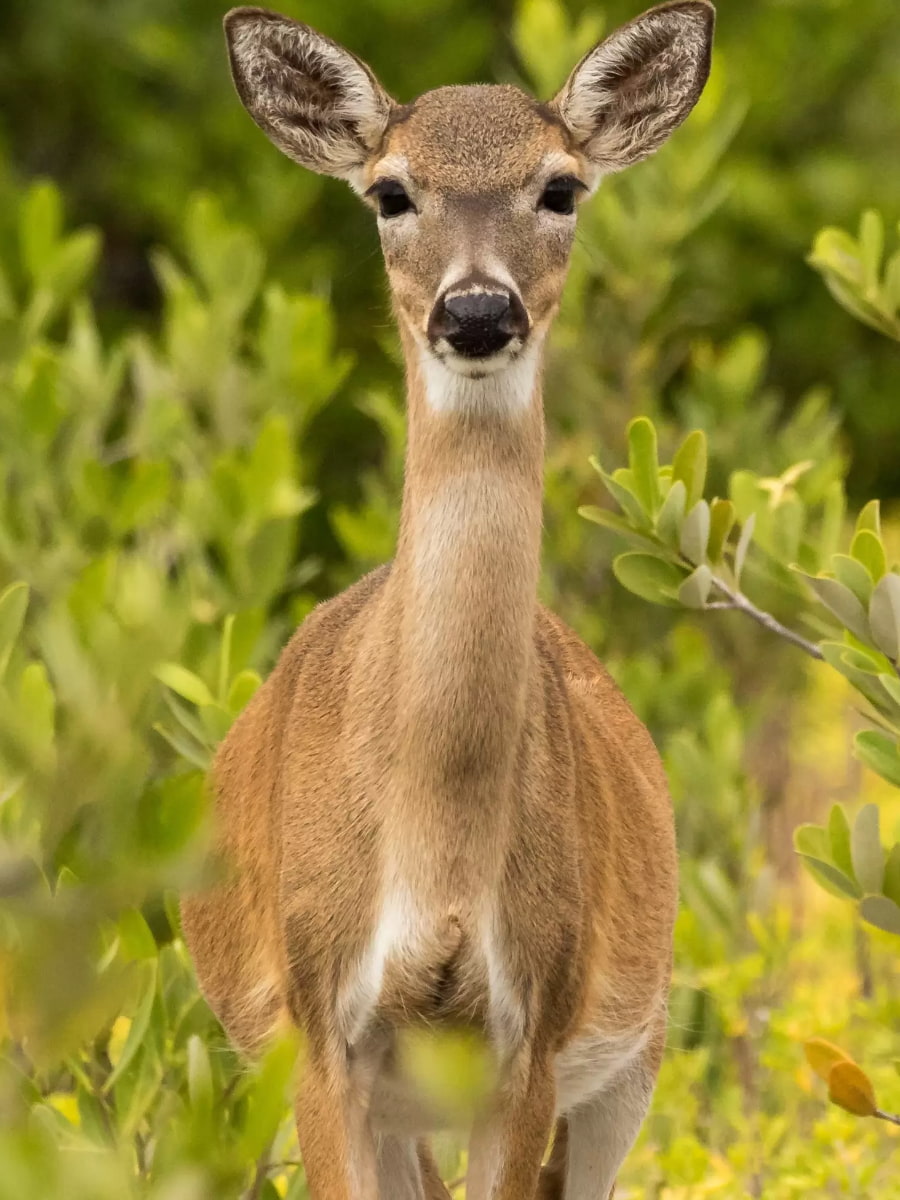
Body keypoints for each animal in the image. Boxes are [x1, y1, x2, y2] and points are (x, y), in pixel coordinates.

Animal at [181, 4, 714, 1197]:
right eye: (391, 192)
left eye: (562, 187)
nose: (475, 310)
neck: (435, 857)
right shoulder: (317, 1027)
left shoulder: (535, 1034)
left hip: (637, 1052)